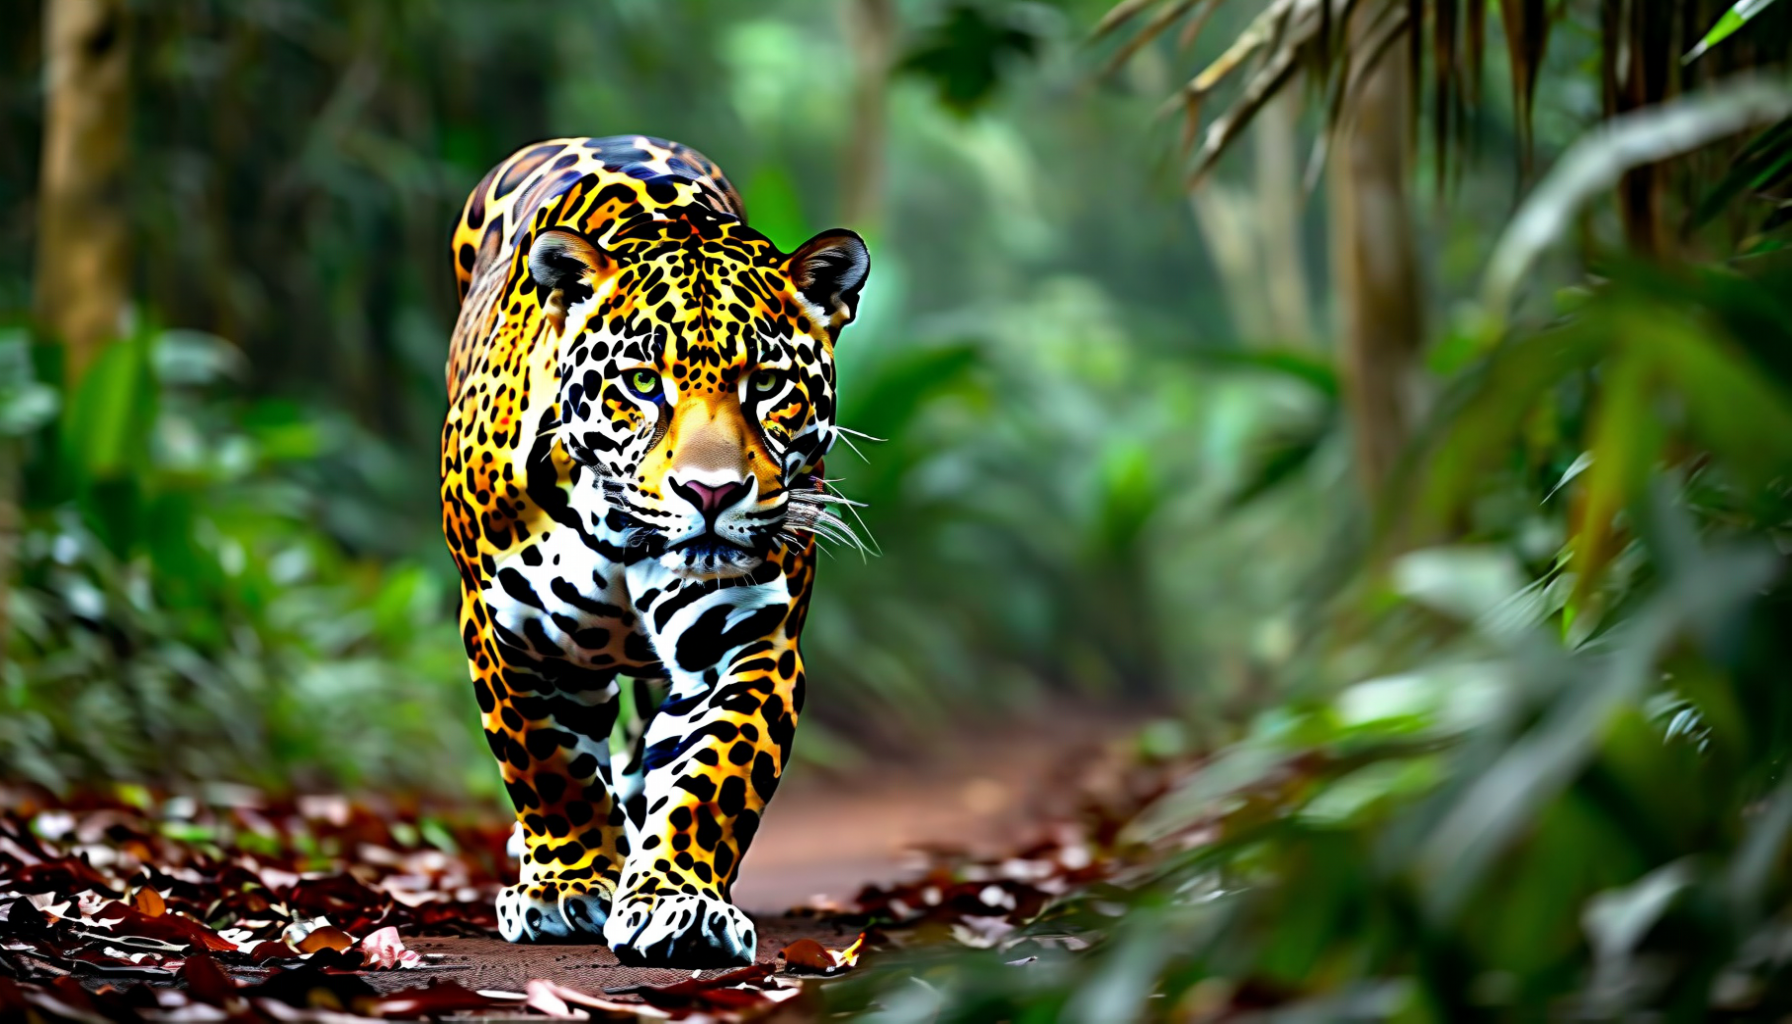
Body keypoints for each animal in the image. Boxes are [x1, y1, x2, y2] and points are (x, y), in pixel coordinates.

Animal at [439, 136, 869, 967]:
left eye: (768, 384)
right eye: (641, 383)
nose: (710, 493)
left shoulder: (749, 639)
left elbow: (713, 776)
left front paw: (677, 902)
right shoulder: (507, 631)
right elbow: (549, 767)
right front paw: (567, 886)